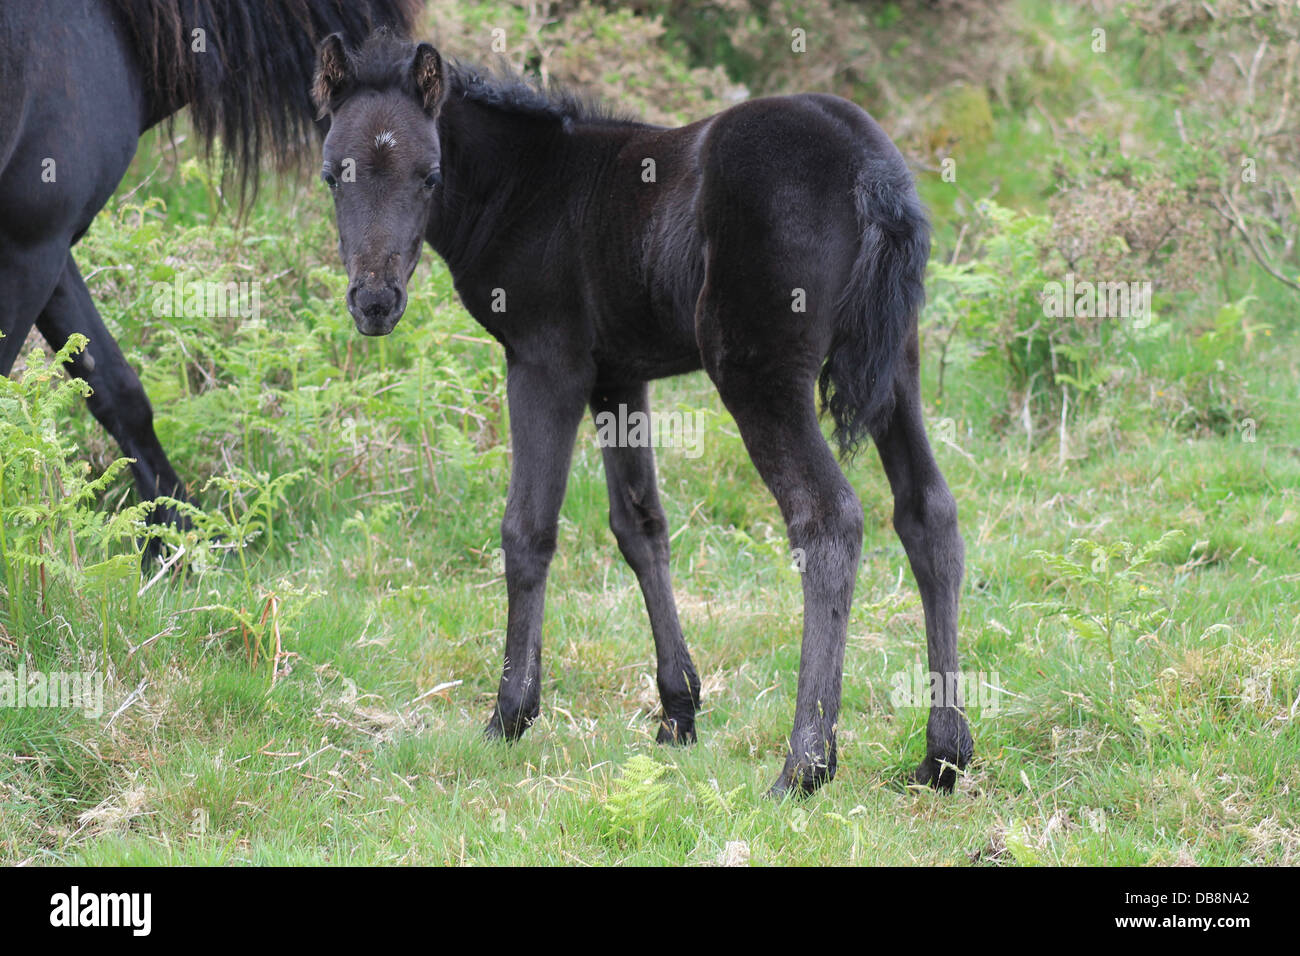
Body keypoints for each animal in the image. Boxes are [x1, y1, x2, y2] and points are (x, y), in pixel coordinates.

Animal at [0, 0, 420, 558]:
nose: (376, 302)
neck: (109, 24)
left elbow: (116, 388)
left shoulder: (47, 243)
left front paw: (177, 539)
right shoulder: (31, 238)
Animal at [313, 30, 973, 796]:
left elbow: (527, 530)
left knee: (828, 518)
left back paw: (803, 765)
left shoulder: (547, 362)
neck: (530, 185)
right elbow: (641, 526)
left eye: (429, 175)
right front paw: (678, 711)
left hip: (758, 373)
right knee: (928, 512)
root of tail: (871, 167)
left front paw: (509, 715)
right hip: (898, 366)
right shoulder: (619, 377)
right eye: (333, 176)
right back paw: (944, 753)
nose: (375, 302)